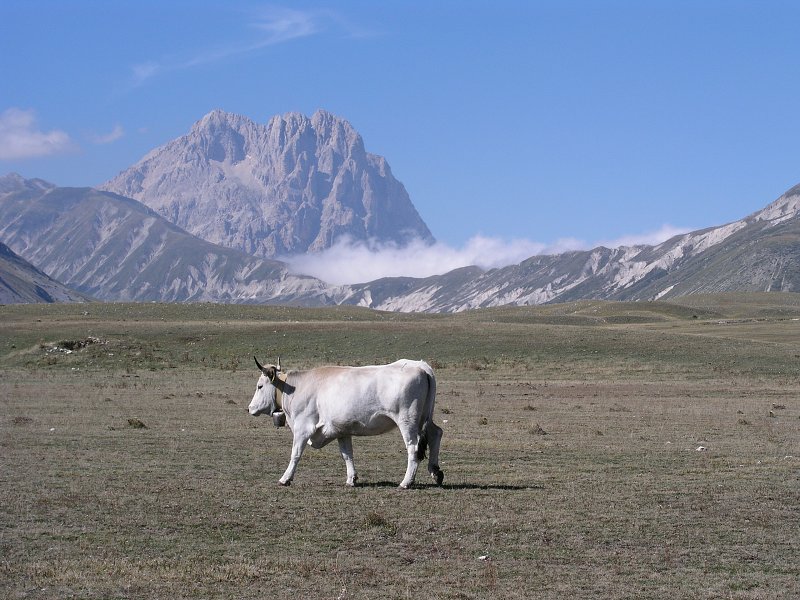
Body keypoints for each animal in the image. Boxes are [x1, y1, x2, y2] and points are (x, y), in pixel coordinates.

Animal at [248, 356, 444, 488]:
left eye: (260, 386)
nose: (249, 408)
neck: (295, 388)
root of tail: (420, 367)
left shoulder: (303, 428)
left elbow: (295, 454)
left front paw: (285, 478)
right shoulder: (341, 431)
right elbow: (347, 455)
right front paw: (351, 479)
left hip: (407, 421)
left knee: (413, 448)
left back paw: (406, 482)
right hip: (425, 419)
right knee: (436, 434)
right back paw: (436, 472)